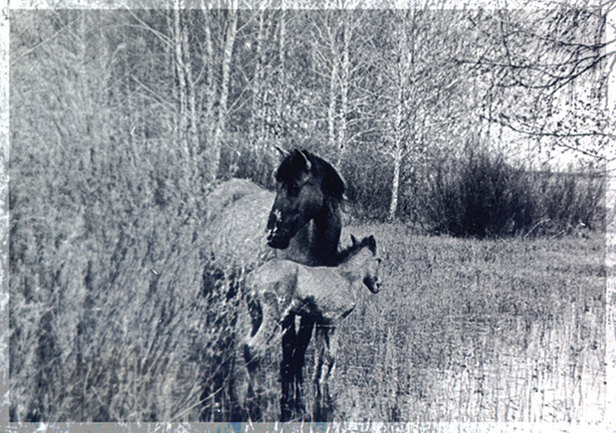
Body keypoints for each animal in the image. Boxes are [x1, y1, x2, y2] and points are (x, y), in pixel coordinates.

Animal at [206, 148, 342, 418]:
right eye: (277, 186)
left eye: (295, 187)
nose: (273, 235)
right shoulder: (287, 304)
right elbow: (289, 345)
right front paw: (288, 390)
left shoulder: (311, 309)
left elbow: (301, 346)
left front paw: (295, 382)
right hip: (215, 277)